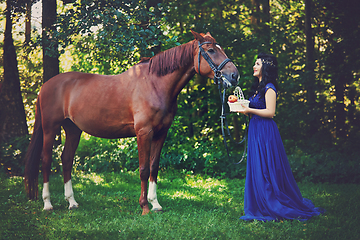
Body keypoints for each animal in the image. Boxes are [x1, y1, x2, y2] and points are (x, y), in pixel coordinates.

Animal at [23, 30, 239, 216]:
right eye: (211, 50)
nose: (234, 75)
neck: (155, 84)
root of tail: (46, 86)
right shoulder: (144, 133)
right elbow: (143, 169)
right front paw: (144, 206)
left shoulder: (161, 133)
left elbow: (154, 167)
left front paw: (156, 204)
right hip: (50, 129)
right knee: (46, 161)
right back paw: (48, 204)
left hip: (73, 130)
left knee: (66, 159)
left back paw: (72, 202)